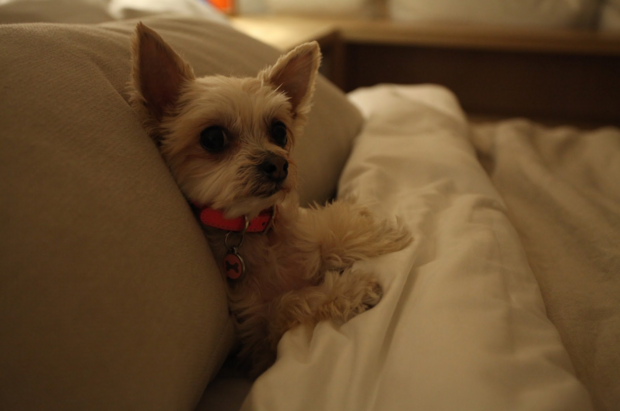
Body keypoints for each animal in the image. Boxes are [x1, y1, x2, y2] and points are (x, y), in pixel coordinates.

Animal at [130, 23, 412, 376]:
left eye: (279, 131)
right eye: (213, 138)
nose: (279, 164)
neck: (254, 229)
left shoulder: (309, 230)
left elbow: (336, 231)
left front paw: (382, 234)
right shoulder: (257, 342)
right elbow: (287, 302)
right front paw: (351, 289)